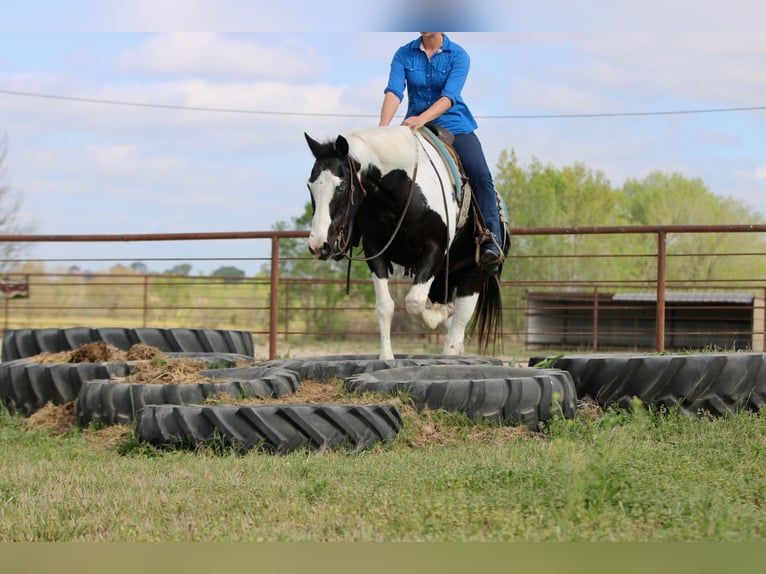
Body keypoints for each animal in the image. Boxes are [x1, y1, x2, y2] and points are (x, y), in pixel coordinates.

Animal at [304, 126, 508, 360]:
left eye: (341, 186)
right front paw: (386, 357)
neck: (402, 189)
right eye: (310, 186)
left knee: (460, 320)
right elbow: (385, 306)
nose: (318, 245)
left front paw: (438, 315)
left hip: (474, 273)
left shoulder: (435, 249)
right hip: (443, 278)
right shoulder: (375, 251)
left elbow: (414, 301)